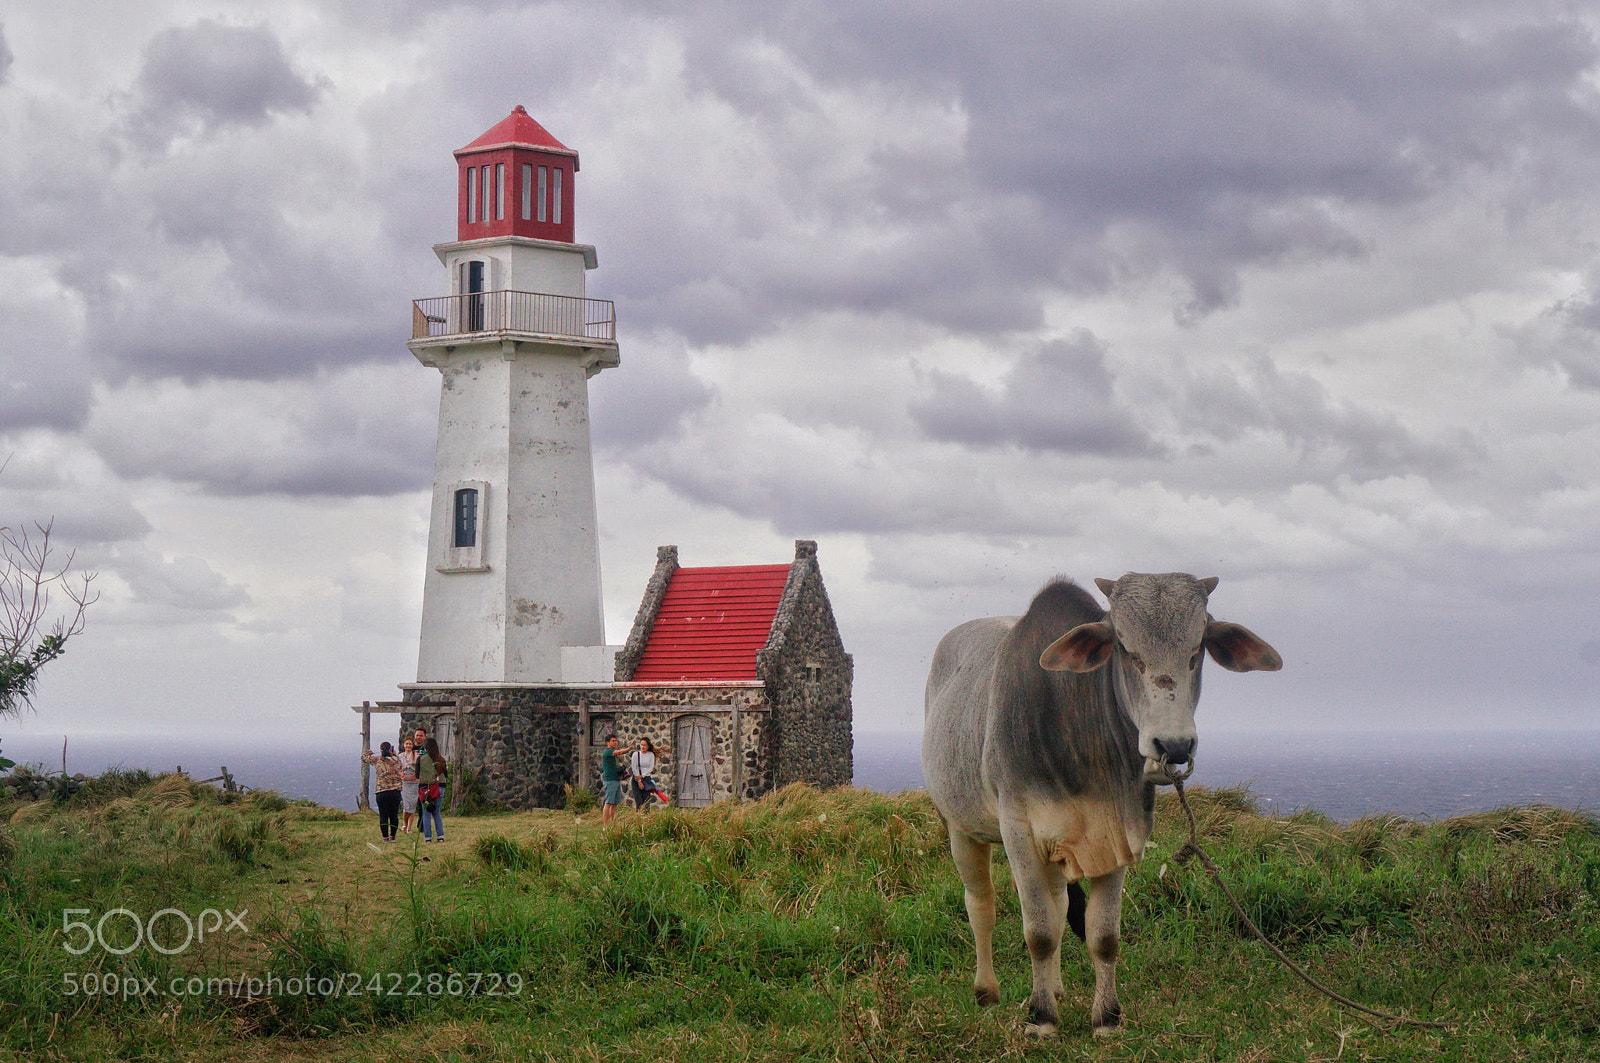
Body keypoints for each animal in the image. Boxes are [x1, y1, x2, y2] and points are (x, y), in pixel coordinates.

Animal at [922, 573, 1281, 1037]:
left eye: (1196, 649)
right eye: (1125, 649)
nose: (1174, 746)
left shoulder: (1117, 838)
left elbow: (1102, 935)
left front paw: (1106, 1017)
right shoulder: (1018, 832)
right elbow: (1038, 931)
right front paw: (1040, 1019)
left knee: (1058, 905)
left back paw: (1055, 988)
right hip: (960, 827)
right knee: (980, 903)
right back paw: (987, 992)